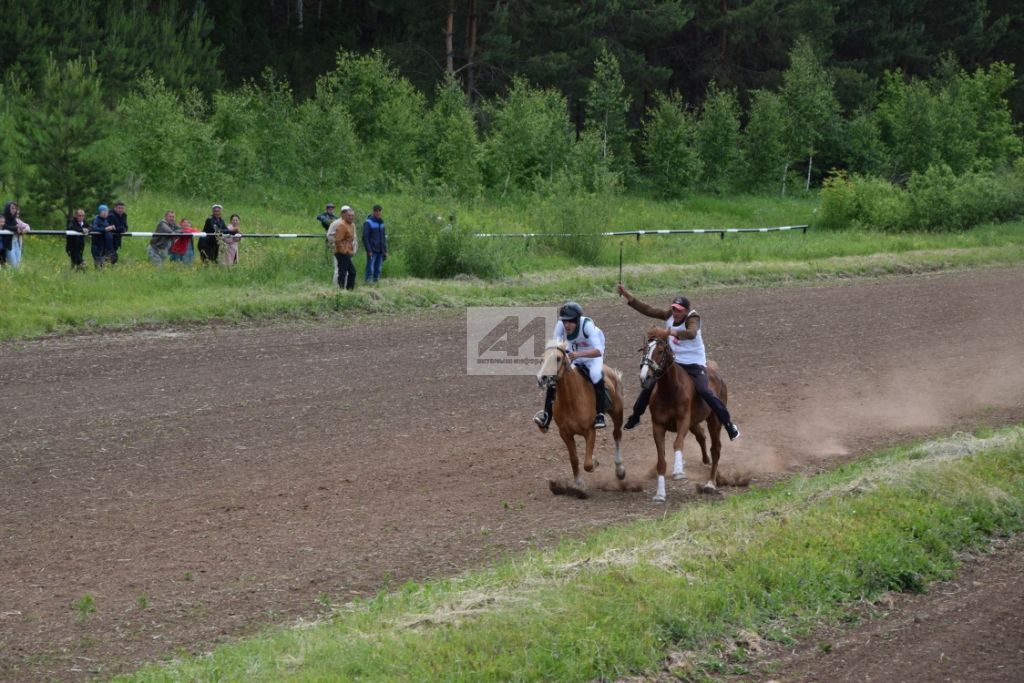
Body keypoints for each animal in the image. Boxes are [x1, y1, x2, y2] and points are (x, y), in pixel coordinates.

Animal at [536, 342, 622, 497]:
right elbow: (574, 458)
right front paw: (578, 484)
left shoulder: (590, 431)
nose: (542, 378)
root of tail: (610, 371)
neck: (570, 400)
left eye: (558, 358)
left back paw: (620, 470)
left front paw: (594, 463)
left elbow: (587, 464)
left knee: (617, 435)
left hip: (617, 412)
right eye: (542, 358)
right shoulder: (565, 433)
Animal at [638, 327, 729, 501]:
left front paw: (679, 472)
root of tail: (716, 374)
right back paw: (705, 460)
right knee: (702, 436)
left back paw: (710, 483)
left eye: (660, 351)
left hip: (714, 420)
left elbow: (678, 443)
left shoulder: (683, 421)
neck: (669, 390)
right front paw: (660, 494)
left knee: (716, 448)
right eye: (645, 350)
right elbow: (661, 461)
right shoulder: (658, 426)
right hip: (695, 422)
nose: (645, 376)